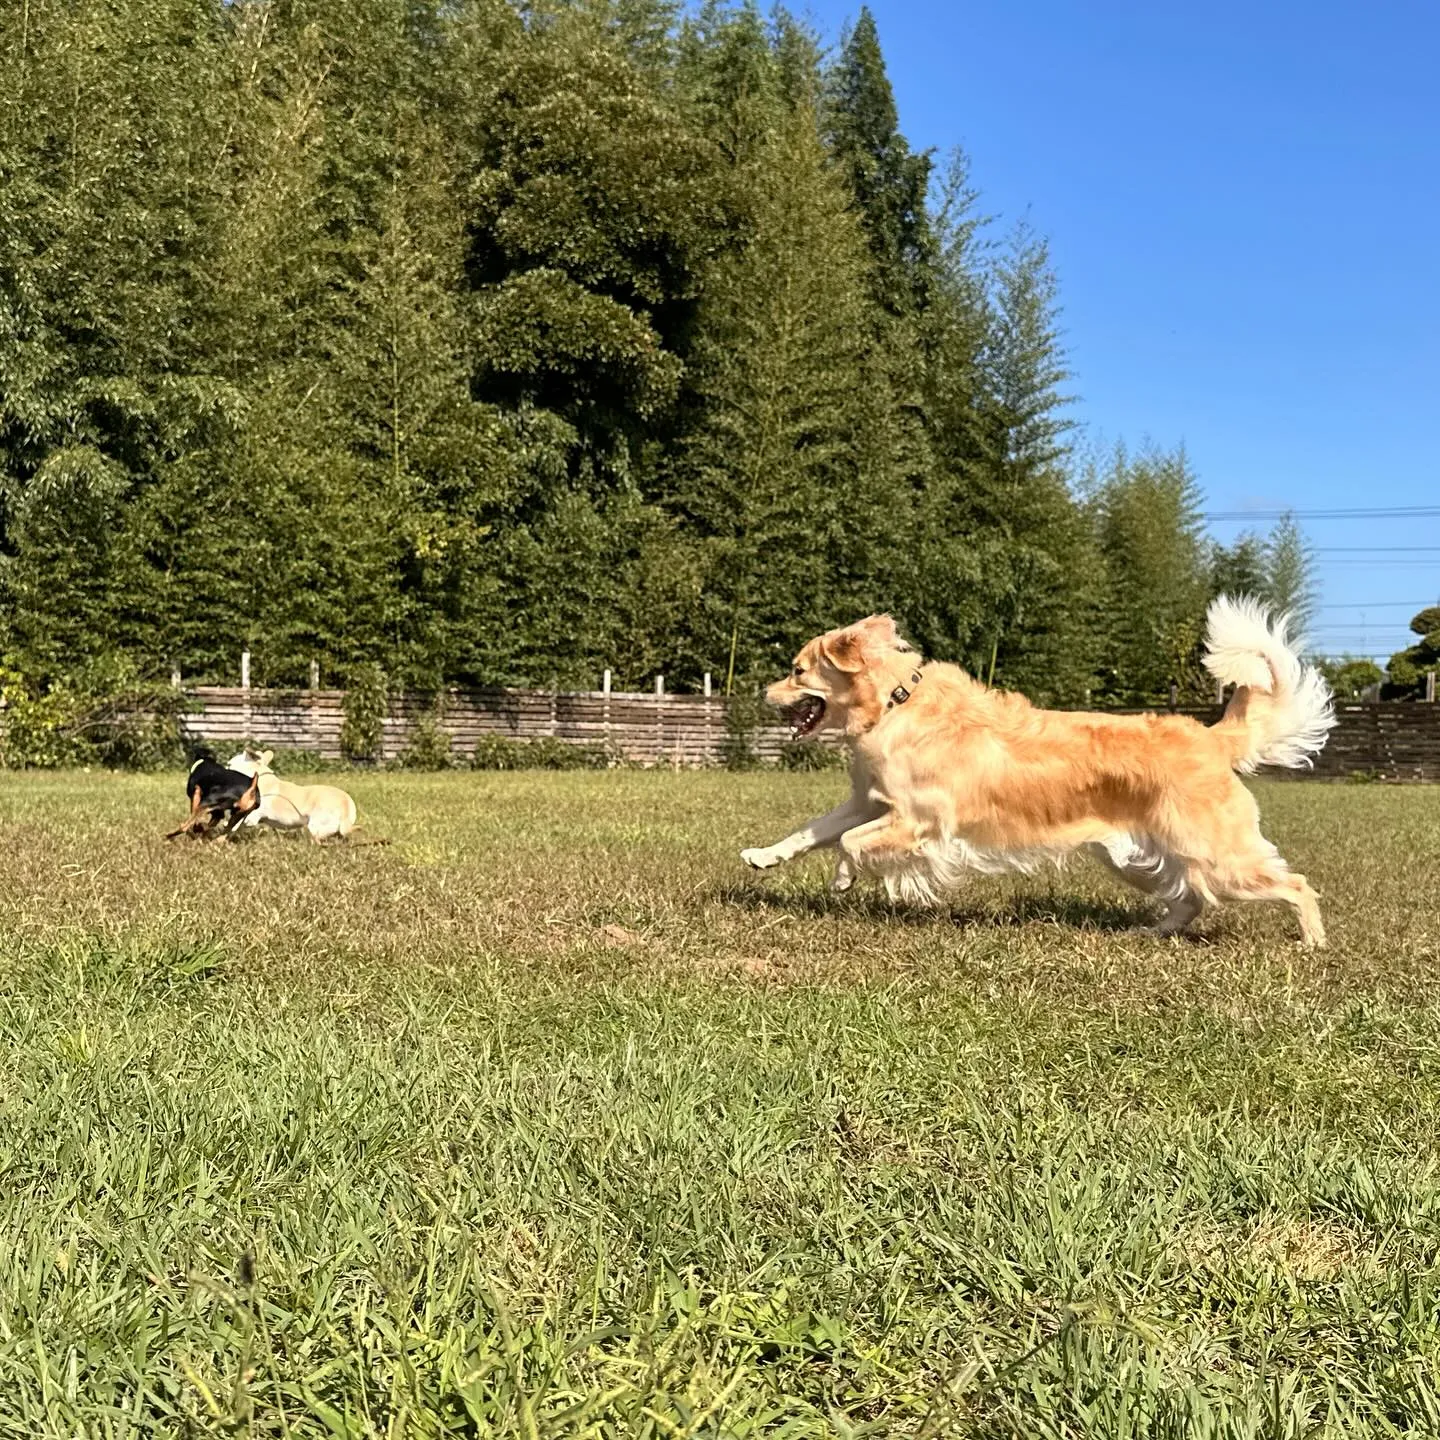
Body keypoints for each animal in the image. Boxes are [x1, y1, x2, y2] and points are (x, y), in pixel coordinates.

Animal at [227, 748, 360, 840]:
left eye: (229, 765)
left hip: (314, 826)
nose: (224, 767)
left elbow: (234, 824)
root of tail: (345, 805)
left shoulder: (251, 817)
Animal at [748, 596, 1330, 944]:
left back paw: (1312, 945)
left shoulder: (918, 821)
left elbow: (849, 844)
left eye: (796, 670)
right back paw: (1150, 933)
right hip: (1139, 857)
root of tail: (1209, 736)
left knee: (1298, 885)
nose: (762, 692)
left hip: (1217, 856)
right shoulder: (866, 801)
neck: (896, 703)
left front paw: (843, 879)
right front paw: (761, 856)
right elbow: (812, 832)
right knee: (1187, 898)